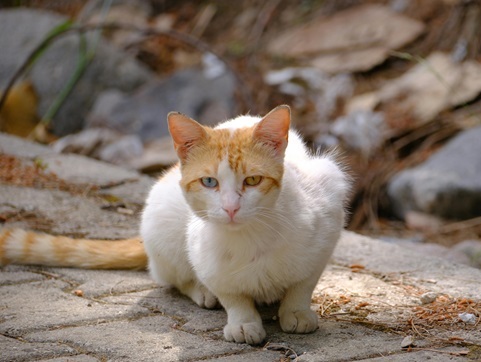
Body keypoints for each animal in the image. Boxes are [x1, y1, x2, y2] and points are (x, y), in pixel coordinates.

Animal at [0, 104, 348, 346]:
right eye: (209, 182)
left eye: (252, 180)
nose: (231, 208)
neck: (249, 237)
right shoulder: (206, 257)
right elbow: (231, 293)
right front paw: (243, 321)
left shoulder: (328, 216)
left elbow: (303, 283)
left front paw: (296, 312)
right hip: (161, 224)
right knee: (171, 277)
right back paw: (202, 292)